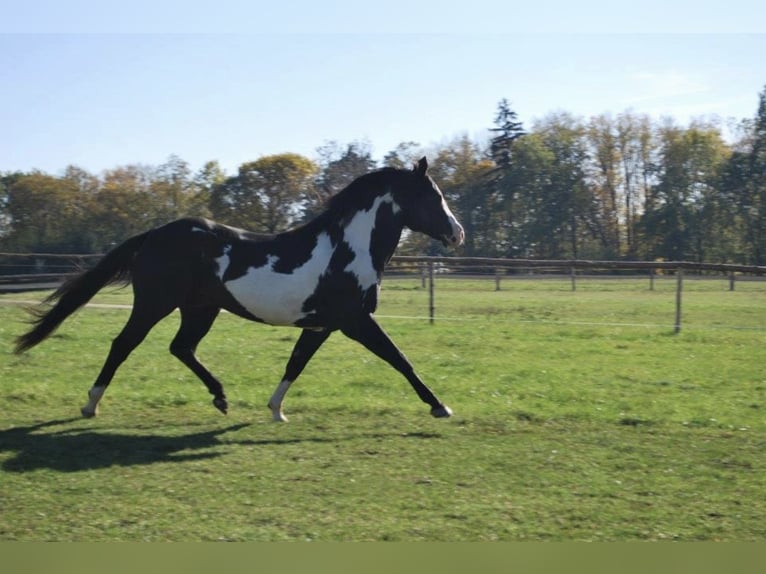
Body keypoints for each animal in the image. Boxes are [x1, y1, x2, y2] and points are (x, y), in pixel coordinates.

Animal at [15, 157, 465, 421]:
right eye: (434, 196)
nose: (457, 233)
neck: (346, 249)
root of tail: (154, 234)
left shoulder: (321, 325)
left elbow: (295, 364)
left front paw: (276, 410)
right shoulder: (356, 321)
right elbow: (401, 360)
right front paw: (440, 405)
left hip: (200, 309)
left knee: (181, 348)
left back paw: (221, 398)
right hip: (154, 304)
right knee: (123, 345)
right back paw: (91, 403)